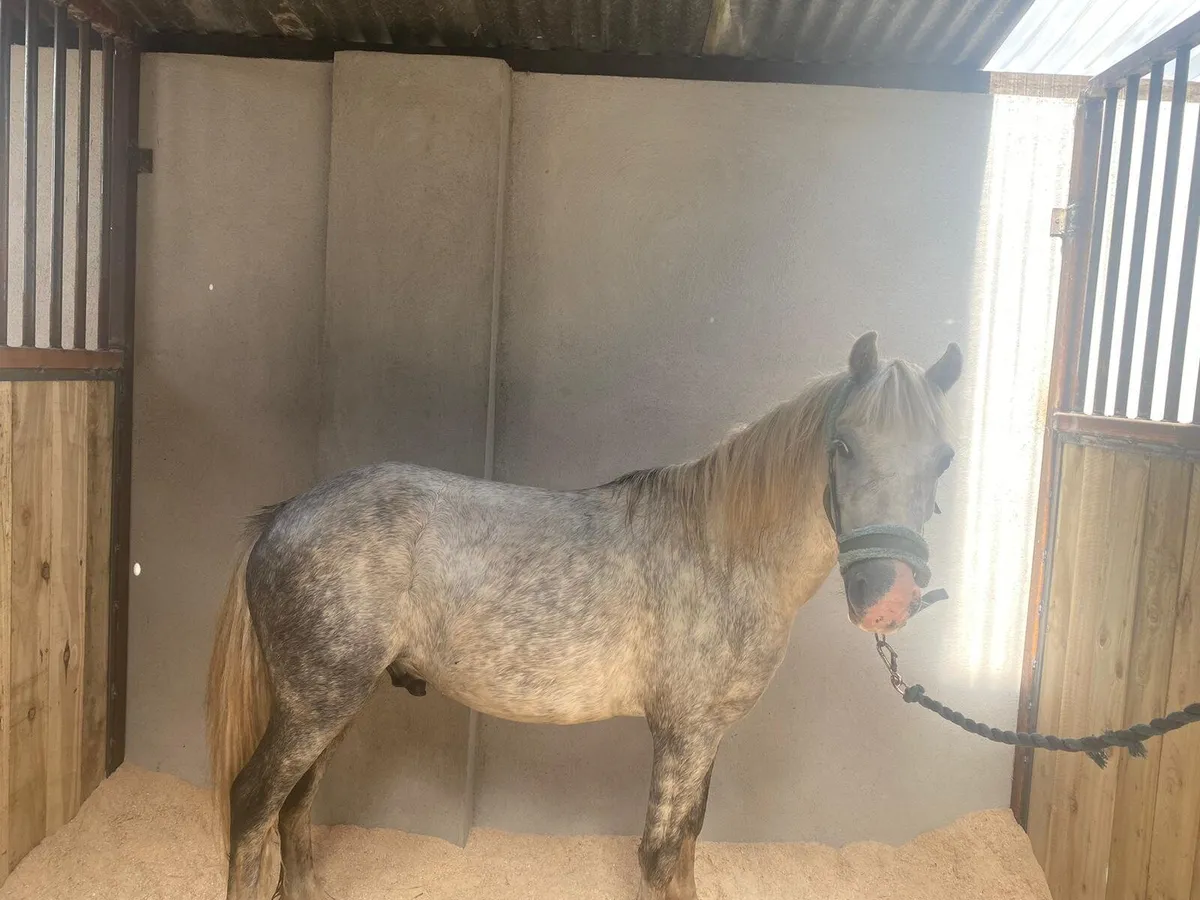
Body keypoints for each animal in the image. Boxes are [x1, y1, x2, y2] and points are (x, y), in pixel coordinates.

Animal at [205, 330, 963, 900]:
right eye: (844, 446)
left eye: (944, 458)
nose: (889, 596)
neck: (720, 552)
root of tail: (284, 514)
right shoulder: (682, 735)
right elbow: (659, 854)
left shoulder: (706, 734)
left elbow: (688, 845)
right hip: (315, 705)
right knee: (254, 803)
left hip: (336, 704)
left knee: (295, 807)